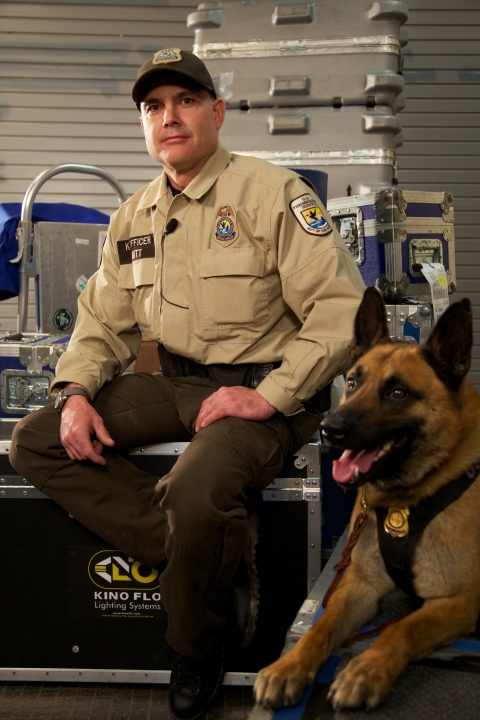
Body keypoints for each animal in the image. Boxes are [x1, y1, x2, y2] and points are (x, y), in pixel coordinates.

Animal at [254, 286, 480, 711]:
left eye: (398, 393)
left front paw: (366, 670)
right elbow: (321, 626)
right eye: (353, 382)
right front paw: (289, 666)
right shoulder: (360, 584)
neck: (410, 497)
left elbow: (402, 629)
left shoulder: (457, 602)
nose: (329, 430)